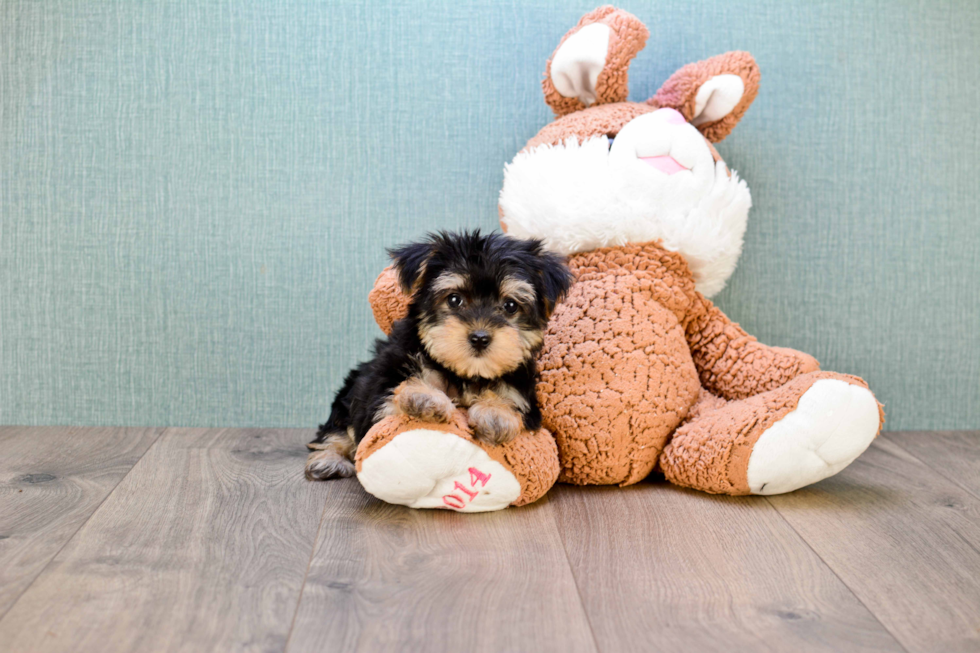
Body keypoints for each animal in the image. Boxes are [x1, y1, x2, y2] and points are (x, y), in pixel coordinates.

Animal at [302, 229, 572, 478]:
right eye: (454, 300)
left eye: (510, 306)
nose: (480, 338)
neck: (464, 373)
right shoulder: (377, 400)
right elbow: (388, 407)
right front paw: (424, 396)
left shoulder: (526, 399)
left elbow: (510, 400)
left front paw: (496, 413)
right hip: (350, 392)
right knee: (335, 428)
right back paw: (329, 460)